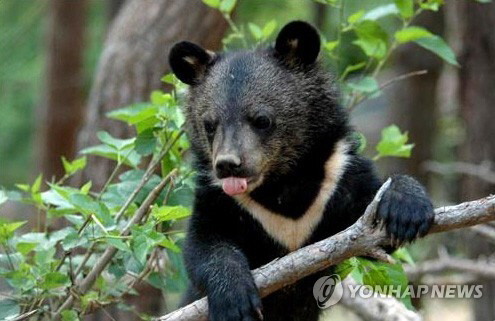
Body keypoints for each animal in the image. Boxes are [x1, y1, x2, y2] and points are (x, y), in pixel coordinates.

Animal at [169, 20, 432, 320]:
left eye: (262, 120)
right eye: (209, 125)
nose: (227, 165)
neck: (282, 183)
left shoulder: (338, 177)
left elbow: (373, 229)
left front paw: (406, 212)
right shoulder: (220, 199)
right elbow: (204, 244)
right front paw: (235, 301)